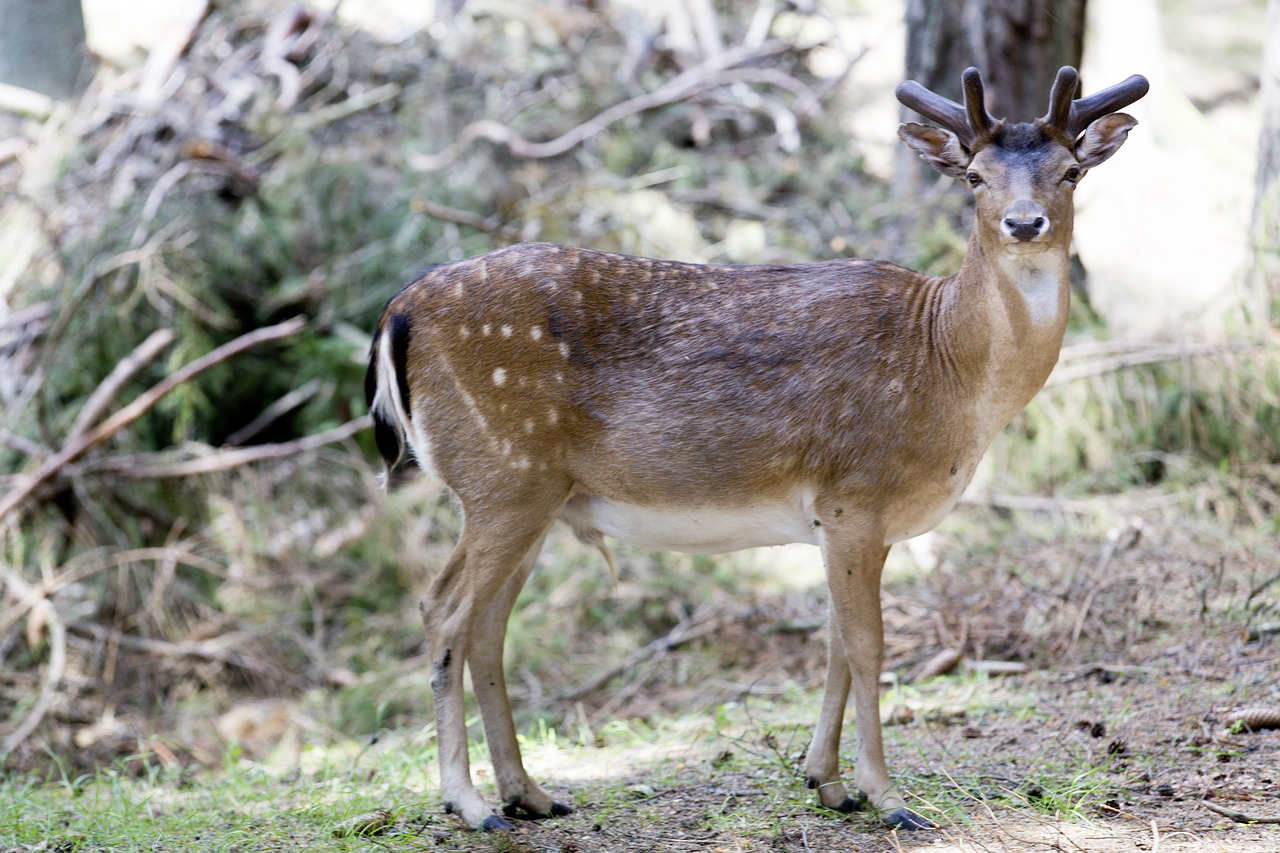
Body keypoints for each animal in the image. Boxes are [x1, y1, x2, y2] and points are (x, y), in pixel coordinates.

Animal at [363, 66, 1152, 829]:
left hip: (533, 494)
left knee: (488, 626)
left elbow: (835, 642)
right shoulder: (855, 494)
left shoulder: (845, 520)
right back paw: (467, 804)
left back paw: (528, 794)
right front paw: (887, 796)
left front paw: (827, 782)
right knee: (444, 610)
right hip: (503, 474)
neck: (947, 367)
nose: (1025, 222)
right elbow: (868, 645)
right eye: (976, 177)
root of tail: (397, 313)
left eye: (1070, 171)